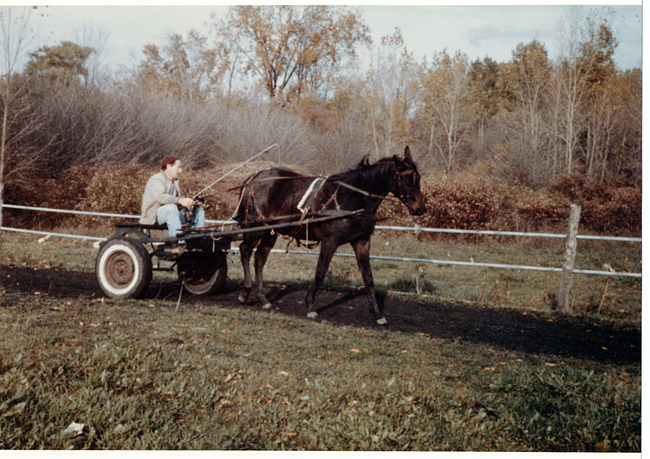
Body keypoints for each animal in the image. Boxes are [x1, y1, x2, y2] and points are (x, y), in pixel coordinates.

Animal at [233, 146, 426, 324]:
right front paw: (310, 305)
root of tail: (255, 177)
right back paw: (245, 291)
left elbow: (368, 277)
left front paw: (378, 314)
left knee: (260, 258)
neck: (352, 197)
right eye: (406, 179)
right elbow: (320, 271)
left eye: (418, 178)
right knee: (245, 250)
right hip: (257, 226)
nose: (420, 208)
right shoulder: (330, 241)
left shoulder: (362, 242)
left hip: (271, 231)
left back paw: (262, 297)